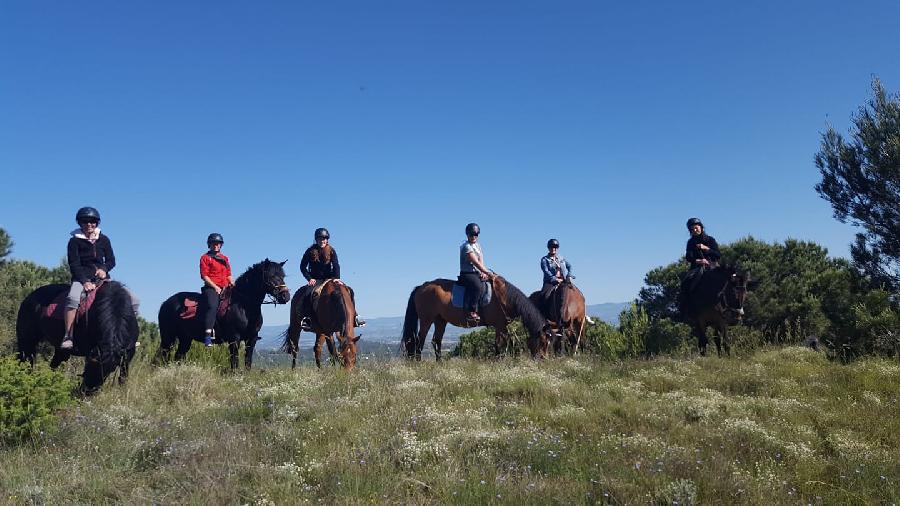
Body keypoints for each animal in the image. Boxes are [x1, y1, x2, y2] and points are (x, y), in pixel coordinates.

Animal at [156, 258, 290, 370]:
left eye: (283, 276)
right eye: (271, 276)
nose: (286, 296)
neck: (244, 305)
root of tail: (165, 303)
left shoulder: (251, 339)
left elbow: (248, 361)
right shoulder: (234, 338)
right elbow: (234, 362)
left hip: (185, 339)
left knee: (177, 357)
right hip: (168, 337)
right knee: (163, 356)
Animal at [402, 274, 556, 362]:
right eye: (543, 342)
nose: (544, 360)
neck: (505, 298)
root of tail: (421, 287)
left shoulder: (503, 327)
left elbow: (506, 343)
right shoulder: (500, 325)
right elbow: (499, 344)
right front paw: (499, 361)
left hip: (440, 320)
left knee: (436, 341)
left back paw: (439, 362)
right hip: (426, 319)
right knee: (419, 340)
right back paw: (418, 361)